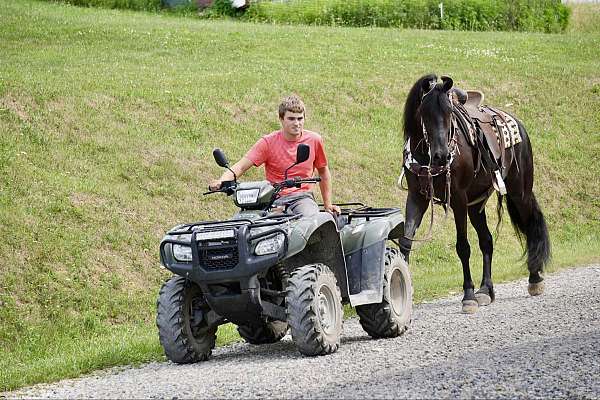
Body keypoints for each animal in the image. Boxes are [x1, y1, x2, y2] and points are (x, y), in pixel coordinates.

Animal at [400, 73, 552, 314]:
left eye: (449, 112)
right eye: (424, 112)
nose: (442, 156)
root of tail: (518, 123)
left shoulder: (458, 200)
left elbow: (463, 247)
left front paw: (468, 296)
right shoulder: (417, 197)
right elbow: (406, 242)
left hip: (519, 193)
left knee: (529, 224)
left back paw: (534, 279)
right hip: (475, 205)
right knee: (487, 240)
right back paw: (486, 290)